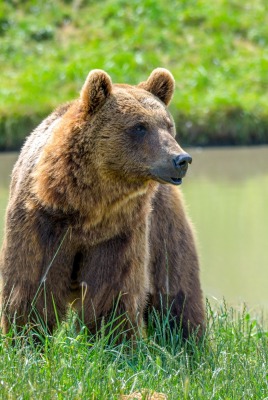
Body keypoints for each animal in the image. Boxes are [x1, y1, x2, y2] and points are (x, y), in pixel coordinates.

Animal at [0, 68, 205, 338]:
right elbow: (32, 283)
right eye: (139, 127)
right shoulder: (41, 220)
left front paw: (109, 334)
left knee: (176, 283)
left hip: (162, 223)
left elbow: (112, 288)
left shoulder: (119, 230)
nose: (181, 159)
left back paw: (186, 338)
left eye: (168, 125)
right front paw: (27, 335)